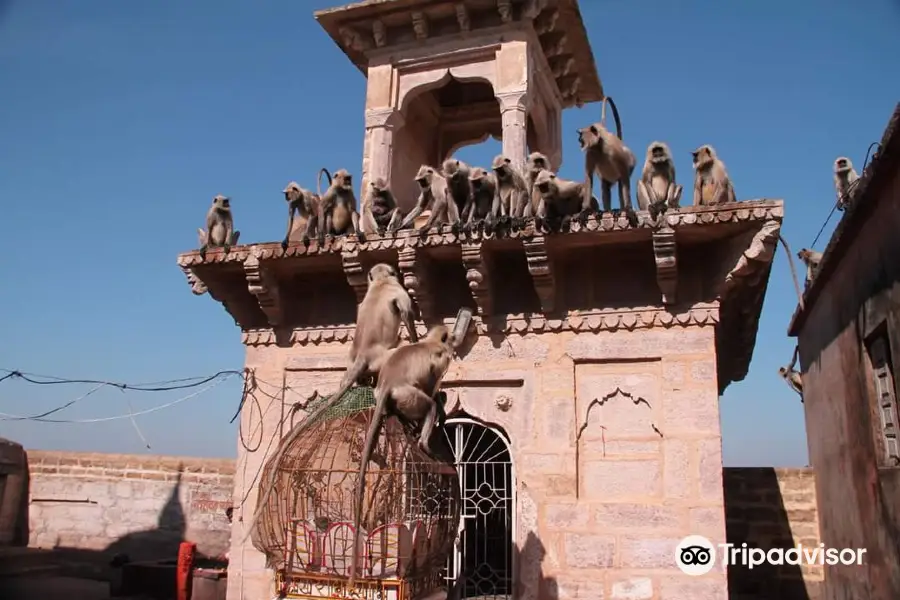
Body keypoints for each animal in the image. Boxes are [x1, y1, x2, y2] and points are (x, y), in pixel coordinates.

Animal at [243, 264, 418, 552]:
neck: (380, 283)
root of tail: (362, 358)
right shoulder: (397, 291)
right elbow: (407, 314)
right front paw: (418, 336)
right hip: (386, 358)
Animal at [346, 326, 458, 588]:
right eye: (450, 338)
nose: (456, 340)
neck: (430, 342)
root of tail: (388, 384)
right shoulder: (441, 357)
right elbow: (433, 388)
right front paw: (441, 404)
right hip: (409, 397)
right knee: (428, 405)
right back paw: (424, 443)